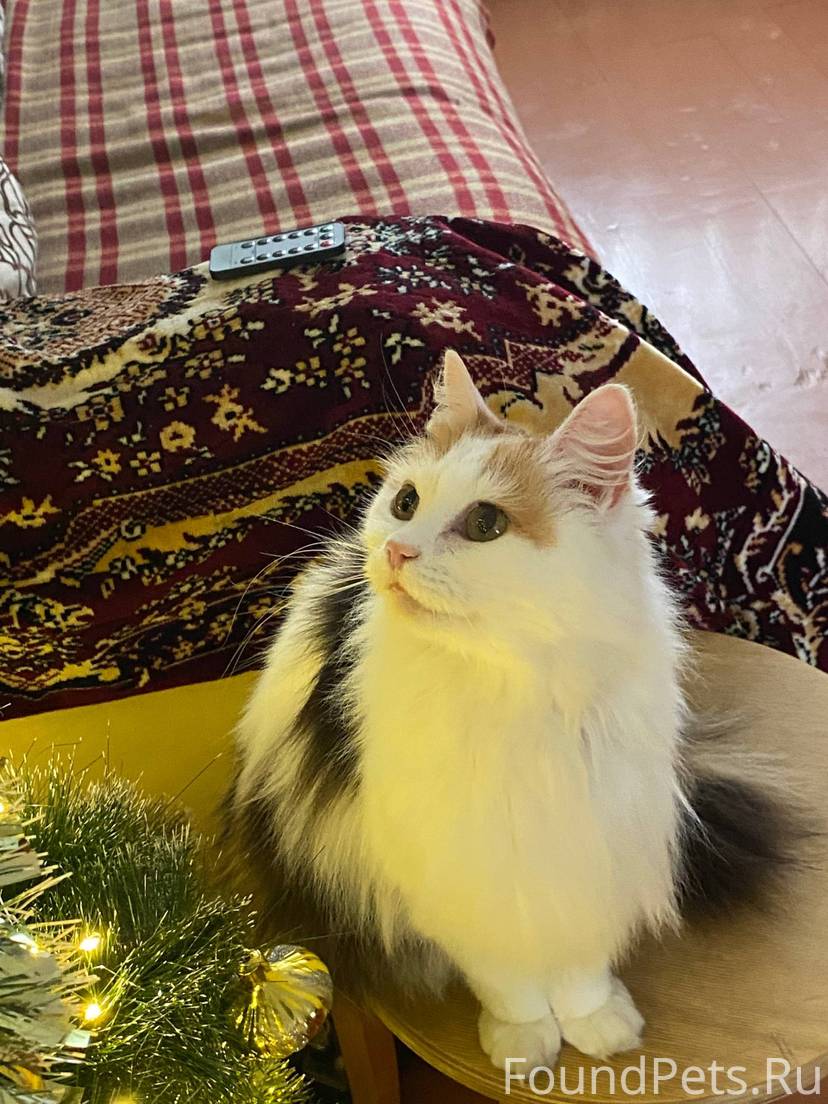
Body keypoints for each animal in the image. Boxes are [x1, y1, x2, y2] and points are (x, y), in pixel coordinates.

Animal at [230, 350, 794, 1069]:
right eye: (406, 502)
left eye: (485, 525)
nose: (395, 551)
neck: (510, 690)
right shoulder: (459, 869)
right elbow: (505, 977)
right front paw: (525, 1039)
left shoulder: (590, 844)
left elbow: (580, 964)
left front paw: (597, 1022)